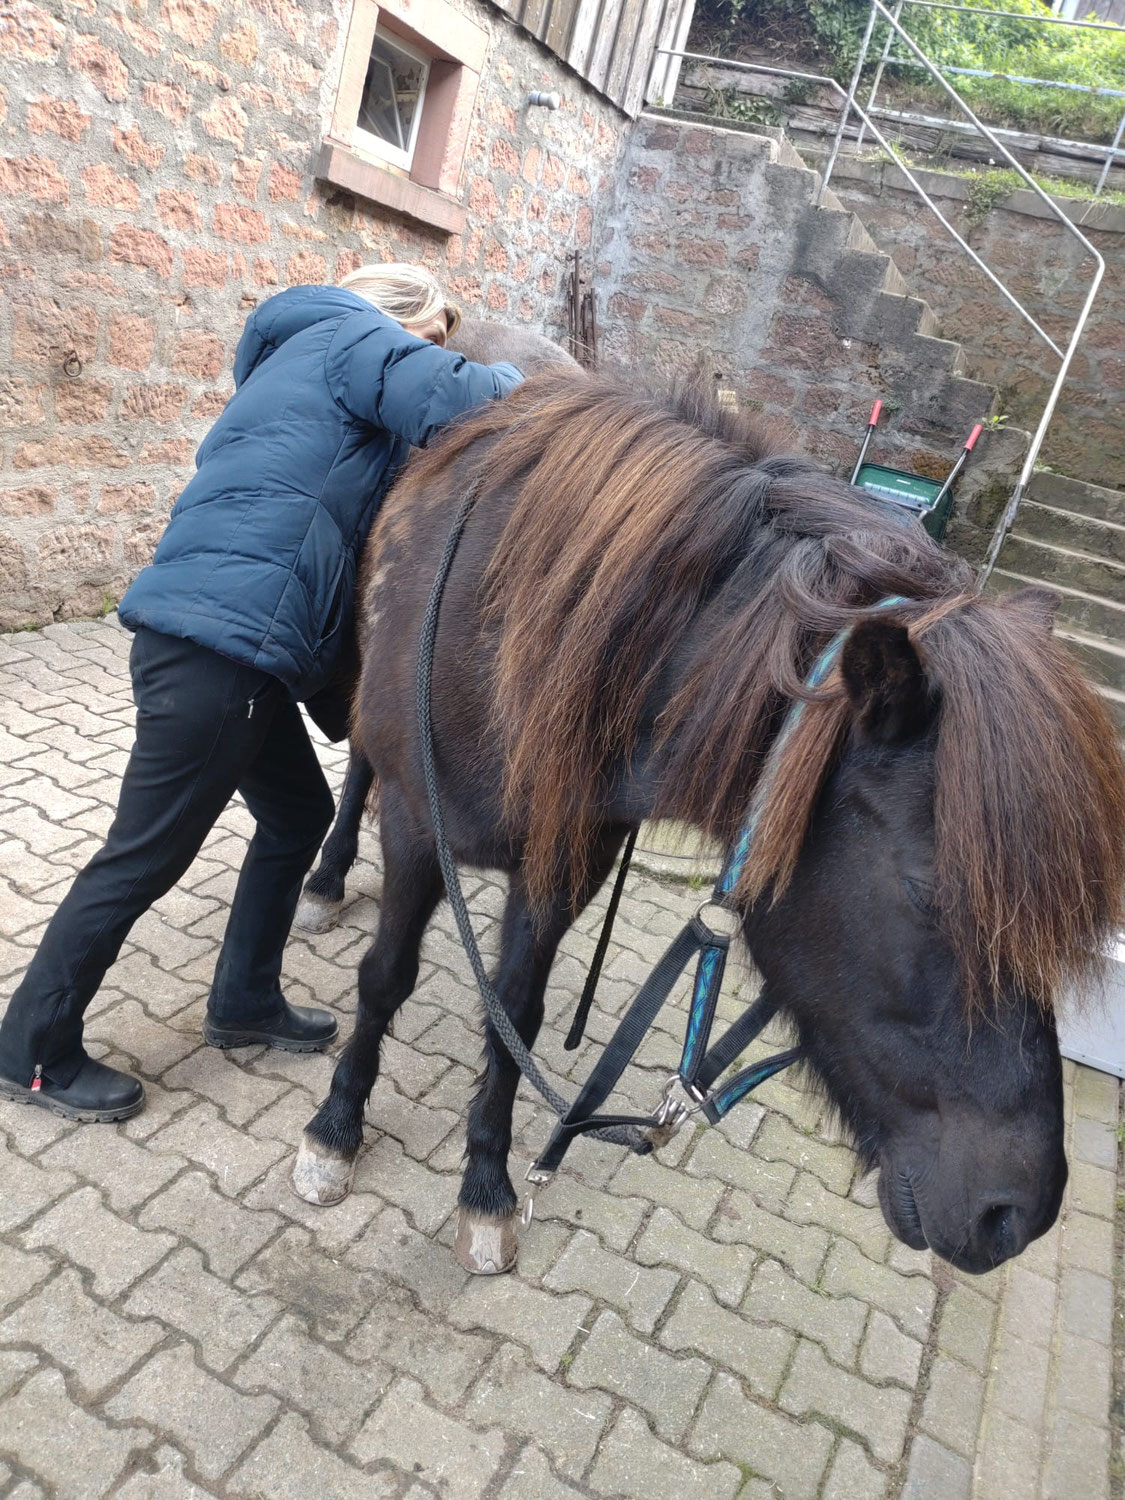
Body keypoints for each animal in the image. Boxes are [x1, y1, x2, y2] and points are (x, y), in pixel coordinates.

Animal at [290, 369, 1125, 1279]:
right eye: (928, 892)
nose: (1017, 1212)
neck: (506, 634)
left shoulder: (561, 865)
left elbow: (514, 1015)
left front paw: (486, 1185)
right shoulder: (416, 826)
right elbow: (384, 978)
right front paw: (334, 1131)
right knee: (358, 768)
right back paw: (323, 880)